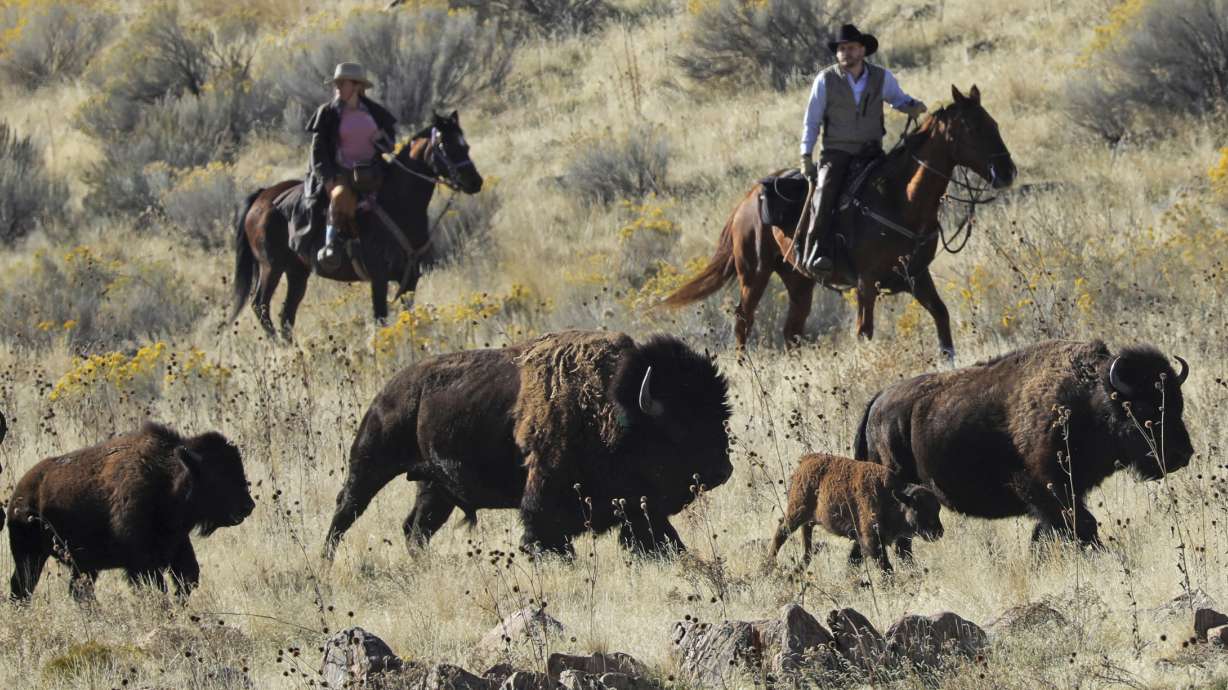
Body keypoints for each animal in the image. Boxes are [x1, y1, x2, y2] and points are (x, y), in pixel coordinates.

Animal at [8, 422, 255, 601]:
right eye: (218, 476)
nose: (248, 506)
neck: (167, 478)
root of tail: (19, 493)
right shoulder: (142, 562)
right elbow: (157, 586)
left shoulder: (177, 545)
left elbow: (188, 577)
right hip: (29, 555)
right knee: (23, 586)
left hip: (82, 565)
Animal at [323, 330, 733, 559]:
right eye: (681, 427)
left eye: (720, 415)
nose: (723, 471)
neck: (612, 403)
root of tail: (391, 387)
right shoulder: (544, 493)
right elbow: (544, 535)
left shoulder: (638, 507)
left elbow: (661, 536)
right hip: (371, 461)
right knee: (347, 508)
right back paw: (327, 560)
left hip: (435, 487)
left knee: (415, 529)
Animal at [854, 340, 1194, 551]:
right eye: (1145, 409)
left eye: (1178, 404)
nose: (1183, 455)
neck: (1087, 399)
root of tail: (876, 403)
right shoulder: (1046, 487)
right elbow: (1080, 524)